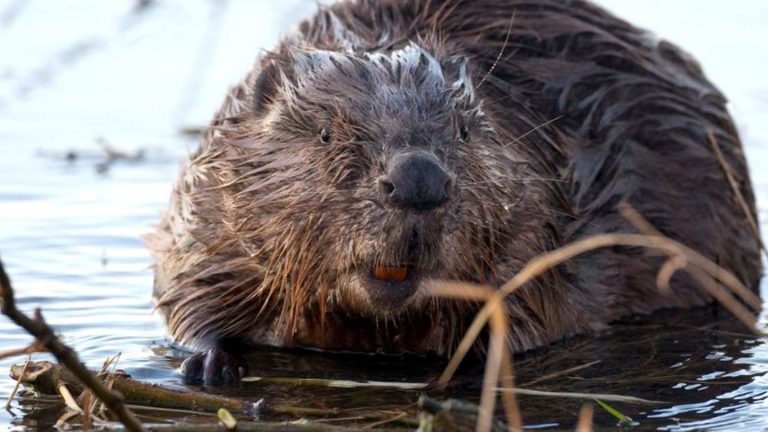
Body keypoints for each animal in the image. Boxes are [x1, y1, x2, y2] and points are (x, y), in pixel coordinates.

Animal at [148, 0, 760, 382]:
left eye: (464, 131)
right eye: (325, 133)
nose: (419, 179)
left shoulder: (539, 223)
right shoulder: (208, 209)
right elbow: (187, 291)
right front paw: (208, 361)